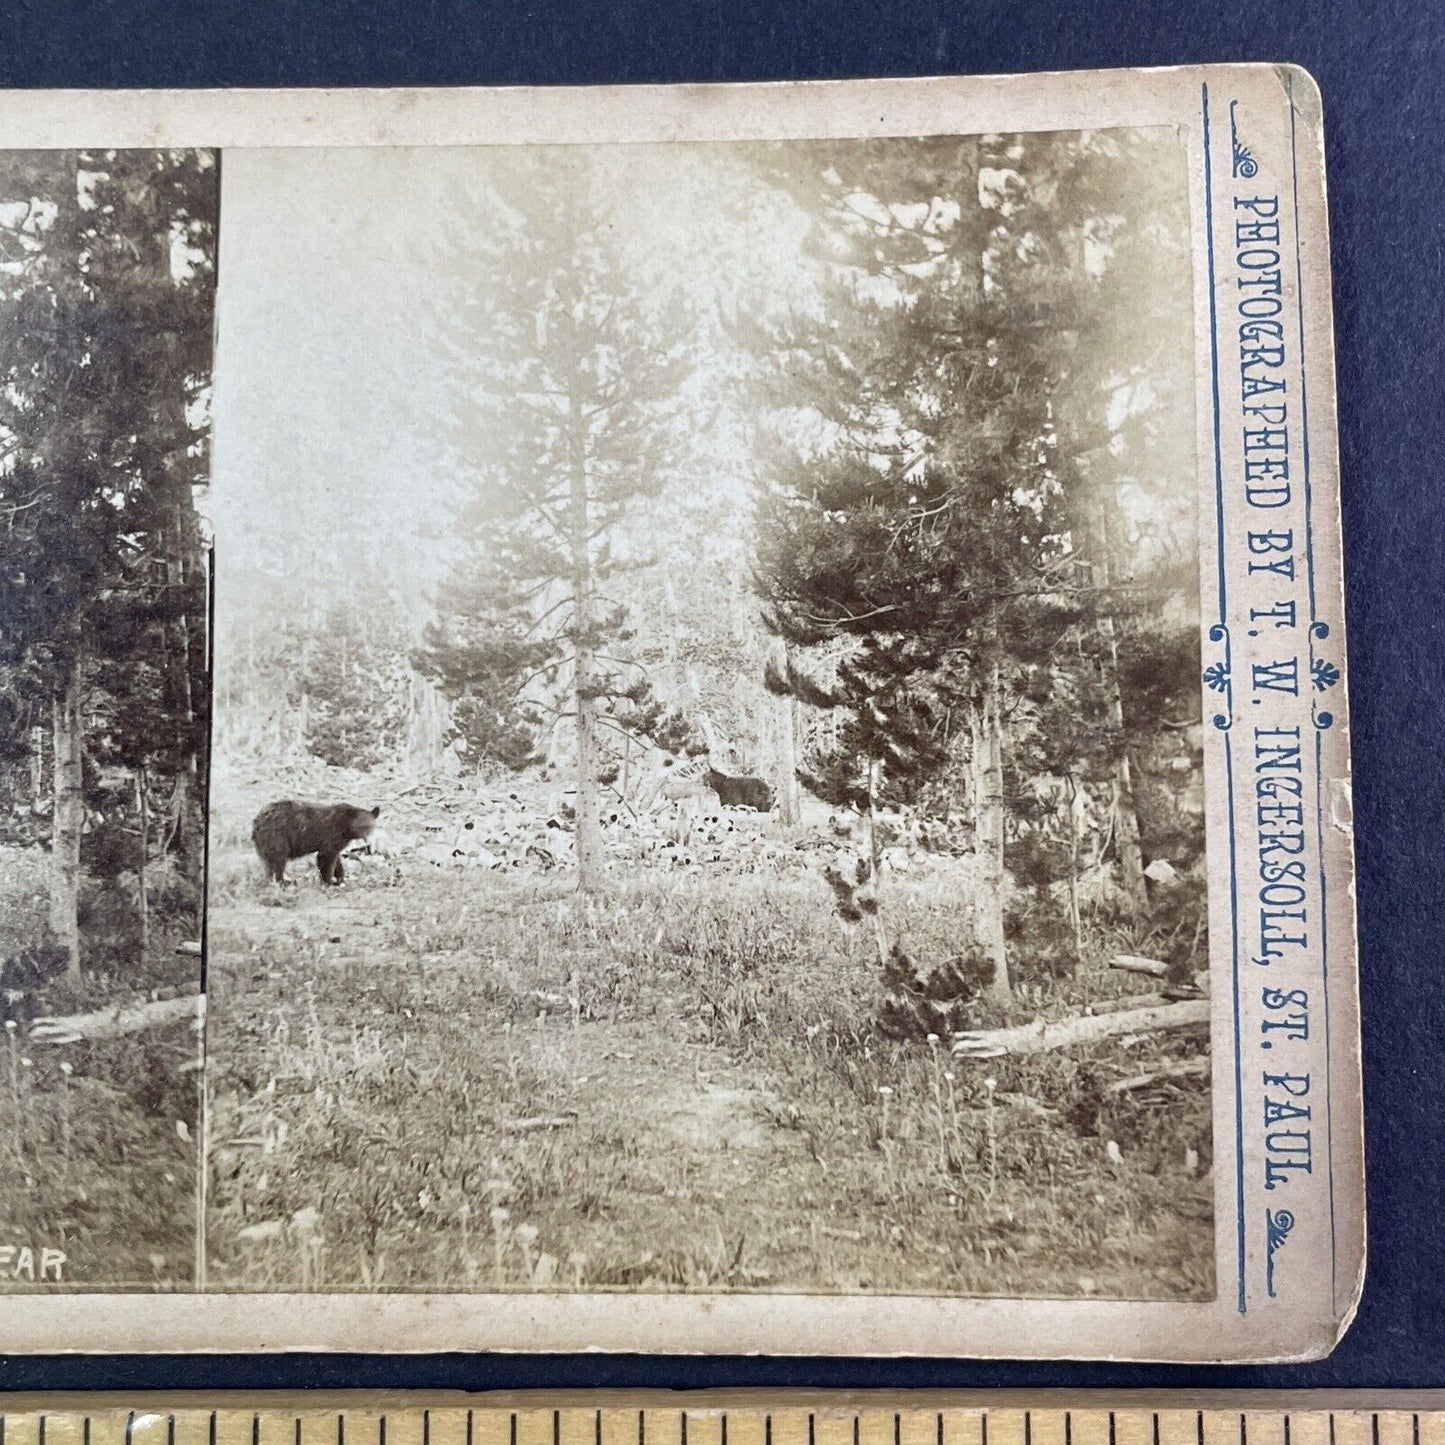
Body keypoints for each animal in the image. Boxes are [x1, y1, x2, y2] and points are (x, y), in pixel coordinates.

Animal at [251, 797, 381, 884]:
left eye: (371, 826)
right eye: (362, 827)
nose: (368, 842)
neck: (347, 829)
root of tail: (257, 821)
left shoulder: (339, 841)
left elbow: (336, 858)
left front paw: (340, 878)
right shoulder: (332, 834)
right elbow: (326, 857)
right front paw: (329, 881)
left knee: (268, 863)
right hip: (277, 836)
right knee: (278, 859)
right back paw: (283, 881)